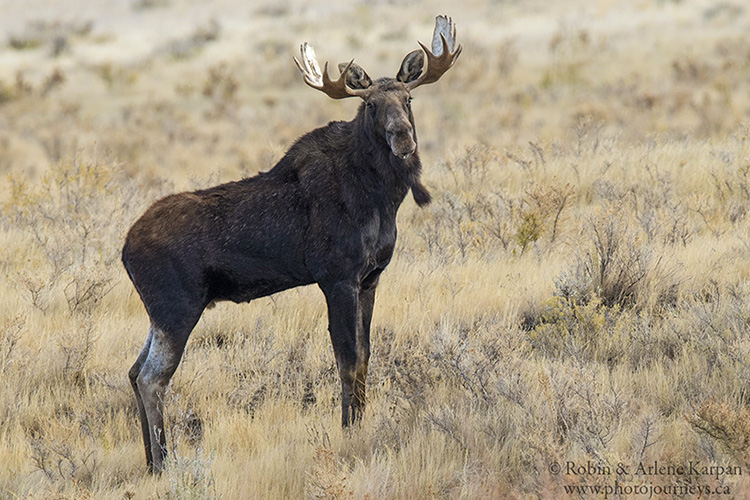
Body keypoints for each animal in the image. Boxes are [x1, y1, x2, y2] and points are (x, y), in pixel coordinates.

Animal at [122, 13, 462, 470]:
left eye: (408, 99)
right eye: (372, 105)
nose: (403, 137)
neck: (382, 196)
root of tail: (124, 250)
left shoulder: (370, 279)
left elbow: (366, 358)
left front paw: (361, 423)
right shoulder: (337, 278)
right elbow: (347, 361)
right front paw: (348, 431)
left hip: (159, 312)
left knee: (133, 370)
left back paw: (149, 462)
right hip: (177, 308)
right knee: (151, 378)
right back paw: (163, 463)